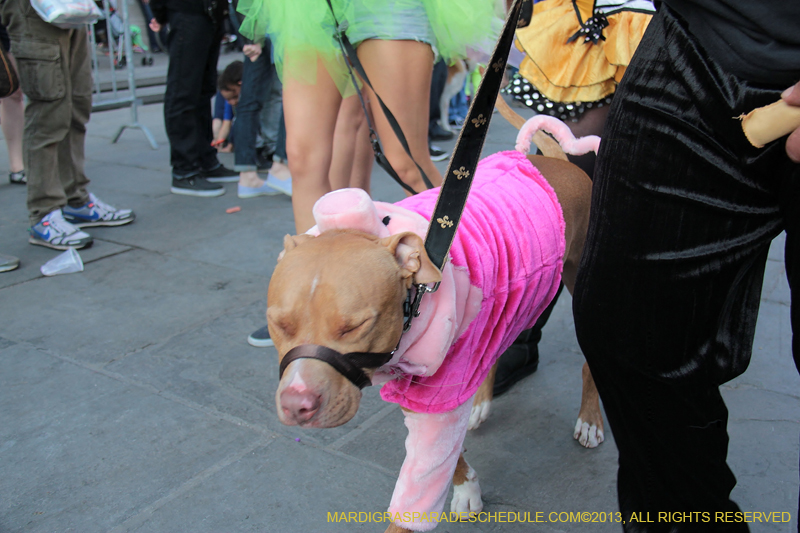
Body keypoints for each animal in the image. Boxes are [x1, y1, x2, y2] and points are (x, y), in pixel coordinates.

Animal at [266, 102, 604, 528]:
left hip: (583, 291)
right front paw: (466, 487)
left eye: (356, 326)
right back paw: (479, 401)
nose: (298, 404)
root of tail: (554, 162)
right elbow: (443, 457)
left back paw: (589, 420)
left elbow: (424, 479)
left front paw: (461, 491)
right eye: (279, 325)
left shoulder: (433, 390)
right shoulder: (420, 391)